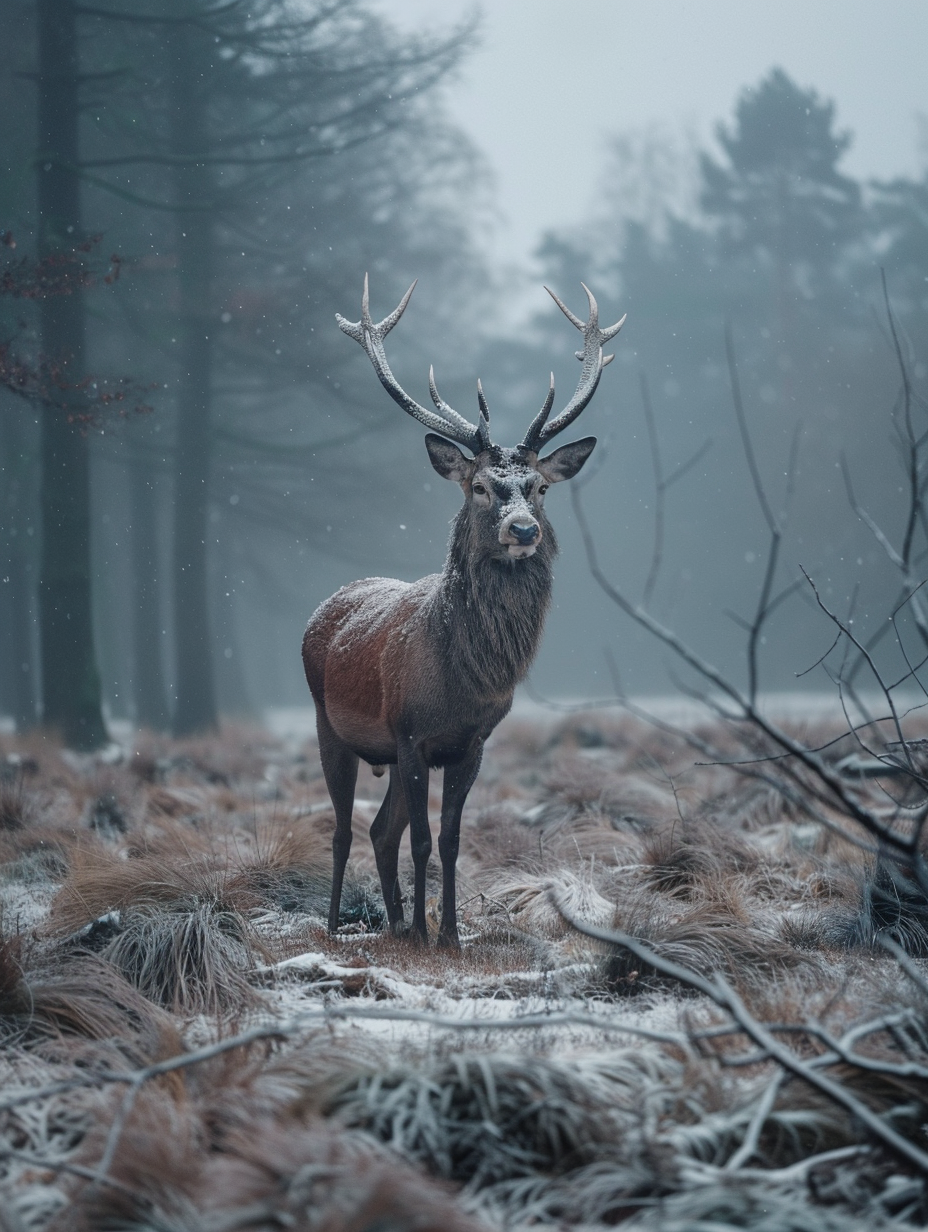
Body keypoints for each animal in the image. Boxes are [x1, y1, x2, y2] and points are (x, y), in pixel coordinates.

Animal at [302, 275, 625, 947]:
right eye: (479, 486)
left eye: (540, 487)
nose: (523, 529)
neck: (463, 681)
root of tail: (326, 608)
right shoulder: (410, 733)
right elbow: (423, 841)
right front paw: (429, 936)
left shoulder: (470, 744)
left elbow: (450, 840)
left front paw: (447, 932)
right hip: (330, 727)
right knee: (345, 831)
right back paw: (336, 926)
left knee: (380, 831)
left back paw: (397, 924)